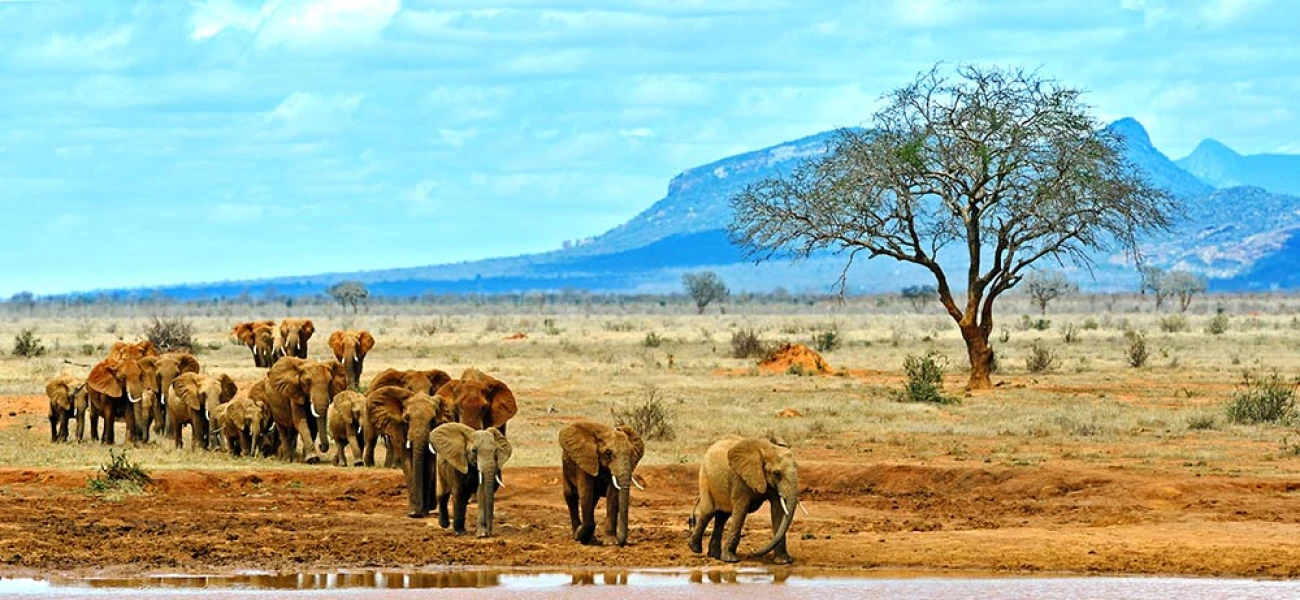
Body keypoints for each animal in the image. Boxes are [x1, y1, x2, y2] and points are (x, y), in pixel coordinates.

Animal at [369, 387, 460, 516]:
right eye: (407, 419)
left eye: (433, 420)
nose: (417, 512)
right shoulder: (400, 429)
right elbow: (407, 464)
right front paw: (413, 513)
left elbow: (428, 466)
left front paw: (423, 512)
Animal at [686, 433, 795, 563]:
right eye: (776, 473)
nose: (753, 551)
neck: (765, 449)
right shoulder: (740, 478)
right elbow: (741, 509)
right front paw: (730, 559)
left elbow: (778, 510)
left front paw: (784, 561)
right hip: (705, 476)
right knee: (708, 512)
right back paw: (695, 548)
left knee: (722, 517)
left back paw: (714, 555)